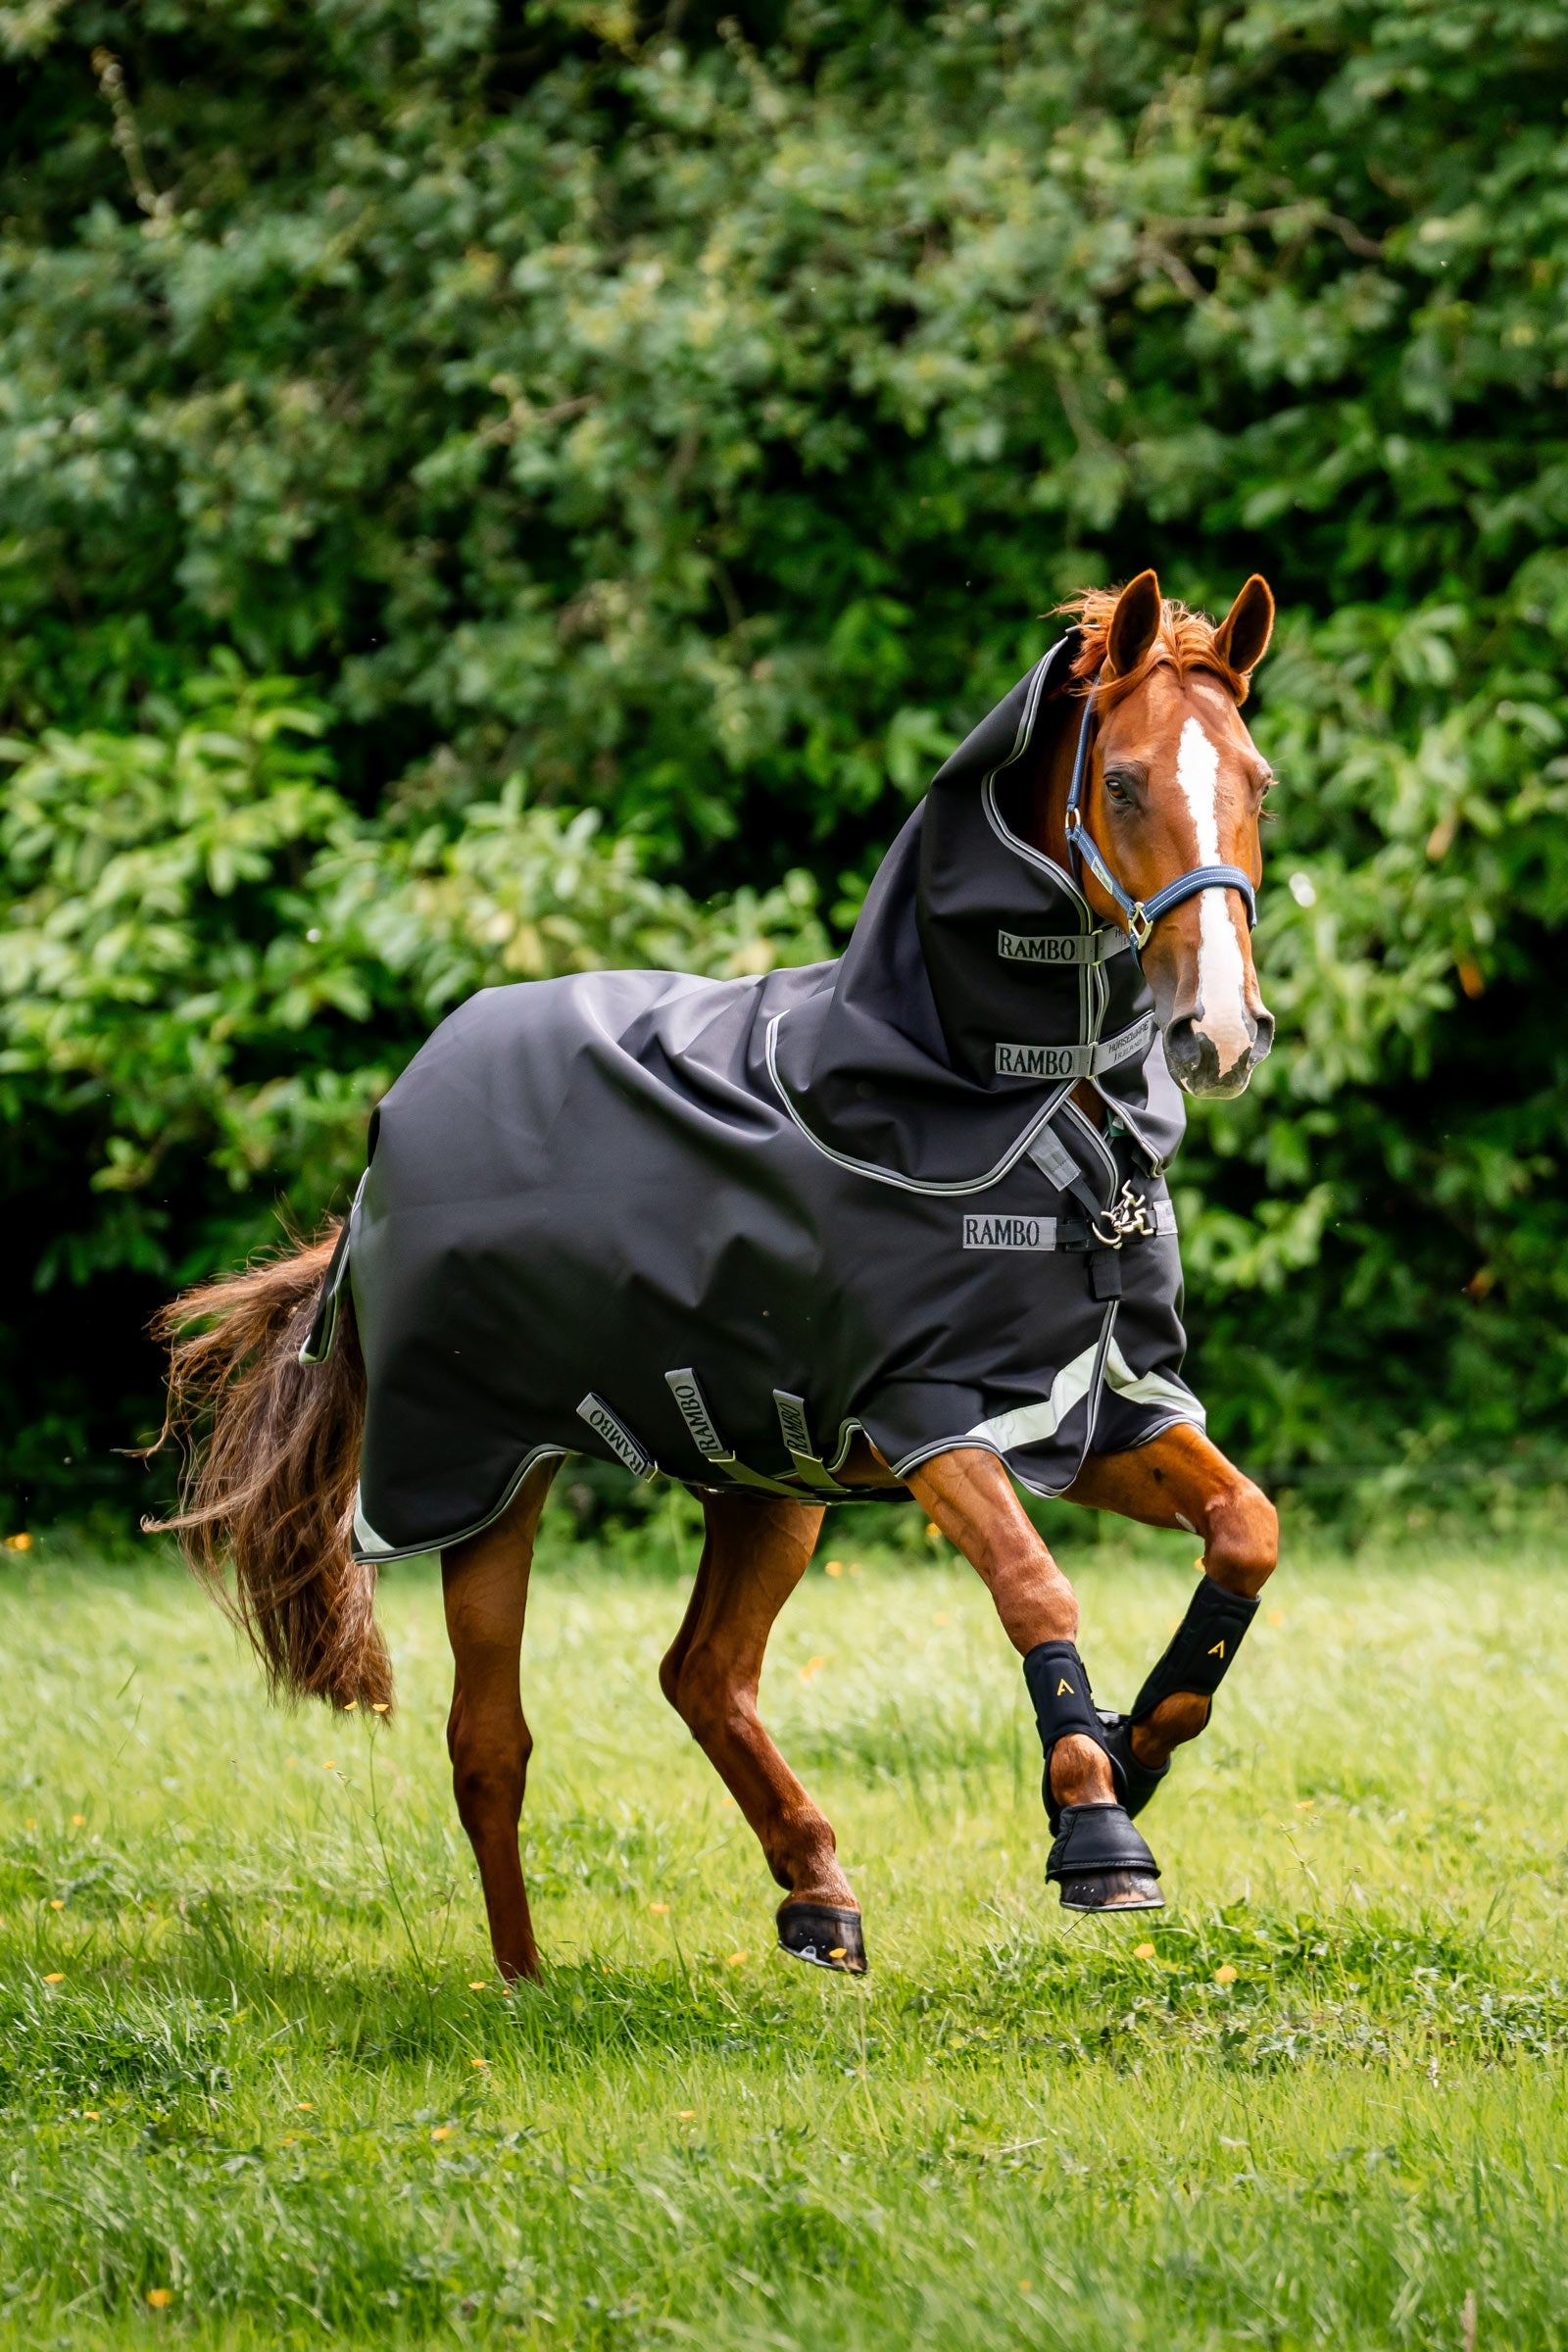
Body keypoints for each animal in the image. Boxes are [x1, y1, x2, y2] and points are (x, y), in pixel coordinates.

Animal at [152, 568, 1280, 1980]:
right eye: (1122, 783)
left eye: (1257, 782)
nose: (1218, 1031)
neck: (1004, 1108)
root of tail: (393, 1121)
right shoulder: (931, 1419)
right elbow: (1034, 1582)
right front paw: (1096, 1831)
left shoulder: (1094, 1411)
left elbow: (1248, 1529)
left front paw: (1137, 1749)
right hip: (485, 1475)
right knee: (490, 1741)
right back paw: (524, 1987)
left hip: (768, 1479)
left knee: (701, 1673)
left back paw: (819, 1896)